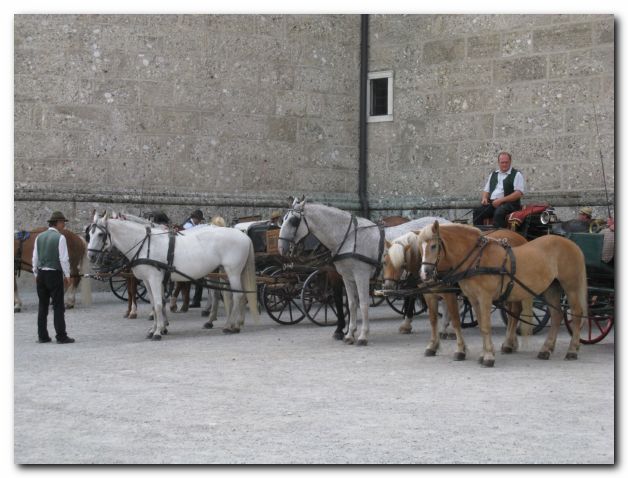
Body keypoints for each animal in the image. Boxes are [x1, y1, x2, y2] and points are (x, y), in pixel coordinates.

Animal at [86, 212, 258, 340]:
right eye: (89, 234)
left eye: (100, 234)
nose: (91, 257)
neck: (144, 244)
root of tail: (243, 236)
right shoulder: (147, 281)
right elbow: (154, 305)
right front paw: (155, 328)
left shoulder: (155, 279)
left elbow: (158, 304)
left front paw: (157, 332)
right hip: (222, 272)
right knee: (230, 295)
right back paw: (234, 323)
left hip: (233, 272)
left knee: (237, 296)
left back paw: (231, 326)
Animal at [382, 227, 528, 358]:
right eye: (384, 262)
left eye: (399, 262)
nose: (387, 285)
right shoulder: (429, 294)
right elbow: (433, 320)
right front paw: (433, 345)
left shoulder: (449, 293)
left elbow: (456, 320)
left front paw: (460, 348)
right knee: (512, 312)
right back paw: (511, 342)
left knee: (515, 311)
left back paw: (509, 343)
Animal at [418, 222, 588, 368]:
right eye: (420, 247)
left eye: (433, 246)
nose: (425, 273)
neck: (477, 259)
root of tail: (571, 243)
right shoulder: (474, 299)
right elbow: (481, 326)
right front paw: (484, 353)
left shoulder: (484, 298)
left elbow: (485, 326)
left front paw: (488, 357)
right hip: (551, 288)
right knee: (556, 315)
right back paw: (546, 349)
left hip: (571, 286)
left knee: (576, 314)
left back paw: (572, 350)